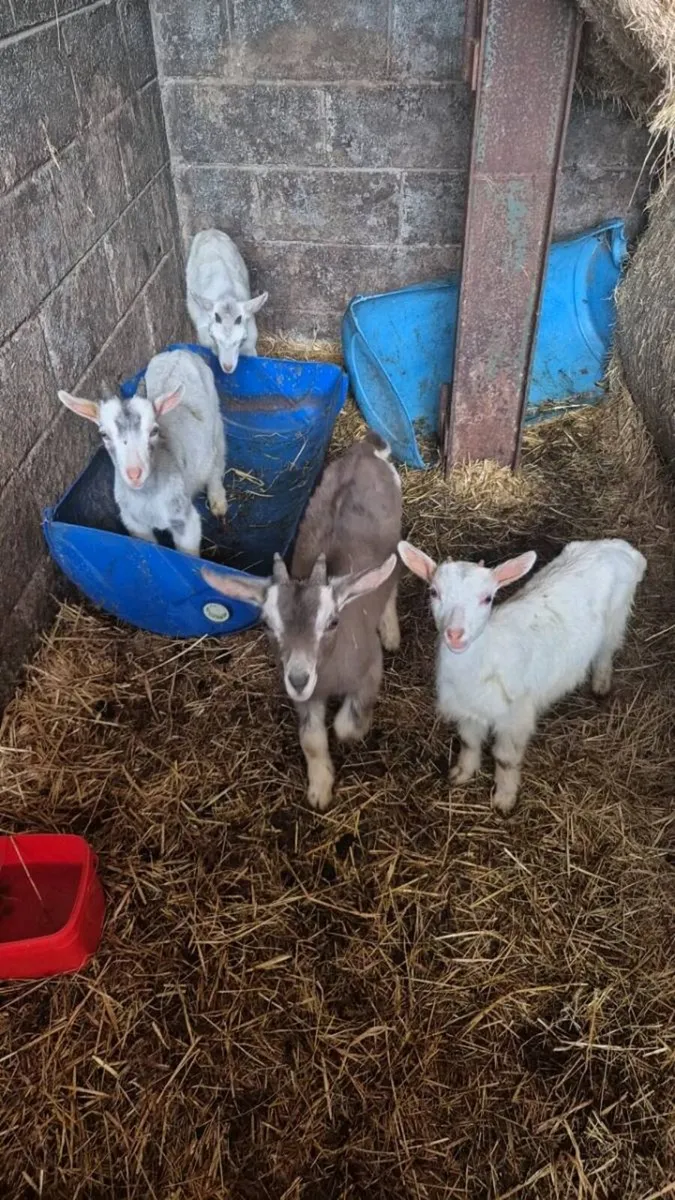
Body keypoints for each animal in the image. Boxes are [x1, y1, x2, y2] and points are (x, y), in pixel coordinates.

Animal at [58, 350, 227, 557]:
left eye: (154, 430)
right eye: (103, 434)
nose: (134, 474)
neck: (147, 497)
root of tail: (179, 351)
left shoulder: (184, 520)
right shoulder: (135, 524)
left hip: (216, 419)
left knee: (217, 459)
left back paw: (219, 502)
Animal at [186, 229, 268, 375]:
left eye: (242, 339)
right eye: (213, 337)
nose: (228, 366)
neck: (227, 295)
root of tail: (210, 231)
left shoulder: (250, 342)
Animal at [202, 433, 403, 811]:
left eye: (333, 622)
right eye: (268, 626)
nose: (298, 678)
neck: (330, 672)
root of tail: (365, 449)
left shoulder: (370, 670)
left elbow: (348, 724)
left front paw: (351, 729)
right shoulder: (305, 697)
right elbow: (311, 739)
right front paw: (320, 789)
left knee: (392, 579)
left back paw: (391, 630)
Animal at [398, 538, 646, 815]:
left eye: (487, 598)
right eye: (434, 592)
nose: (455, 634)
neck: (487, 656)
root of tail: (620, 547)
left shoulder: (515, 718)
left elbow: (505, 759)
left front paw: (504, 799)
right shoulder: (467, 710)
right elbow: (469, 742)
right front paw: (461, 774)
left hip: (616, 618)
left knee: (606, 651)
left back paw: (601, 685)